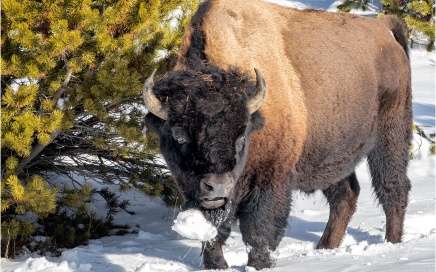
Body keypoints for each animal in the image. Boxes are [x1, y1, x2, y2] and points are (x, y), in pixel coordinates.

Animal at [142, 0, 412, 268]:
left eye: (241, 136)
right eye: (179, 135)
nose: (218, 186)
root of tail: (382, 29)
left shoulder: (271, 177)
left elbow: (259, 229)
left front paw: (258, 264)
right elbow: (212, 234)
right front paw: (217, 265)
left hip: (391, 134)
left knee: (392, 188)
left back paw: (392, 244)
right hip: (332, 153)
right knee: (345, 194)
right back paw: (325, 248)